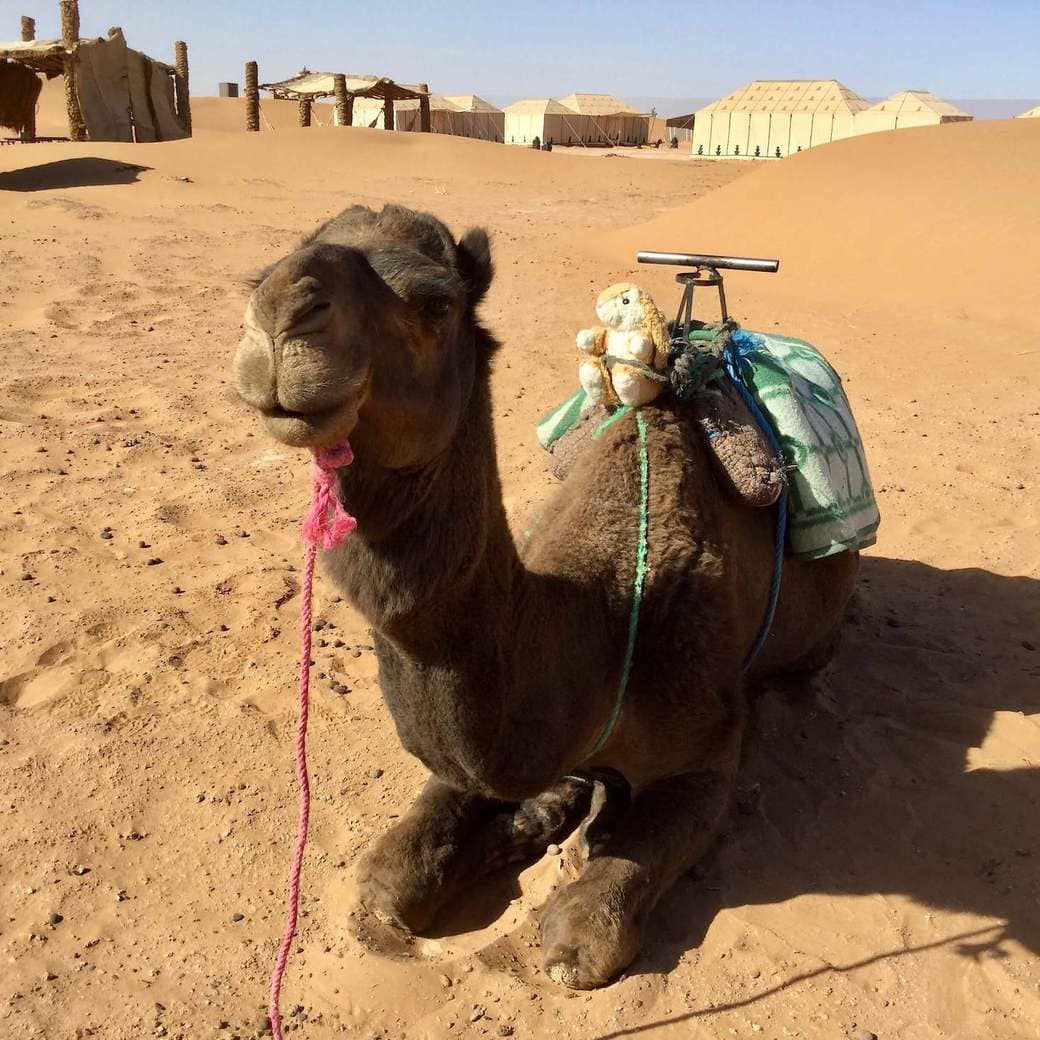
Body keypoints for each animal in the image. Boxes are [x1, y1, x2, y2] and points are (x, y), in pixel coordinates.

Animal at [233, 203, 859, 989]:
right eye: (256, 276)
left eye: (435, 302)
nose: (280, 314)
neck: (603, 620)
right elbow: (385, 879)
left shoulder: (710, 744)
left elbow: (581, 939)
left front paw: (579, 853)